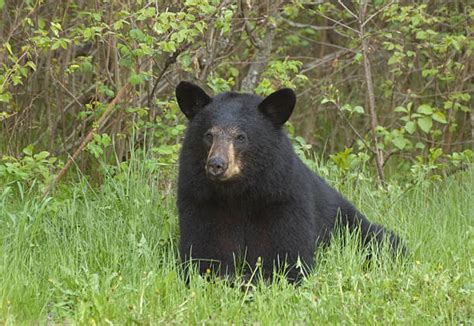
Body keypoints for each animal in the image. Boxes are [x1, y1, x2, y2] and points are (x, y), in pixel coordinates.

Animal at [176, 81, 402, 282]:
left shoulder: (281, 200)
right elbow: (204, 255)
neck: (237, 193)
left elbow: (286, 258)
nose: (216, 164)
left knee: (384, 241)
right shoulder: (201, 201)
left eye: (241, 137)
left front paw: (252, 278)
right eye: (208, 135)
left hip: (351, 226)